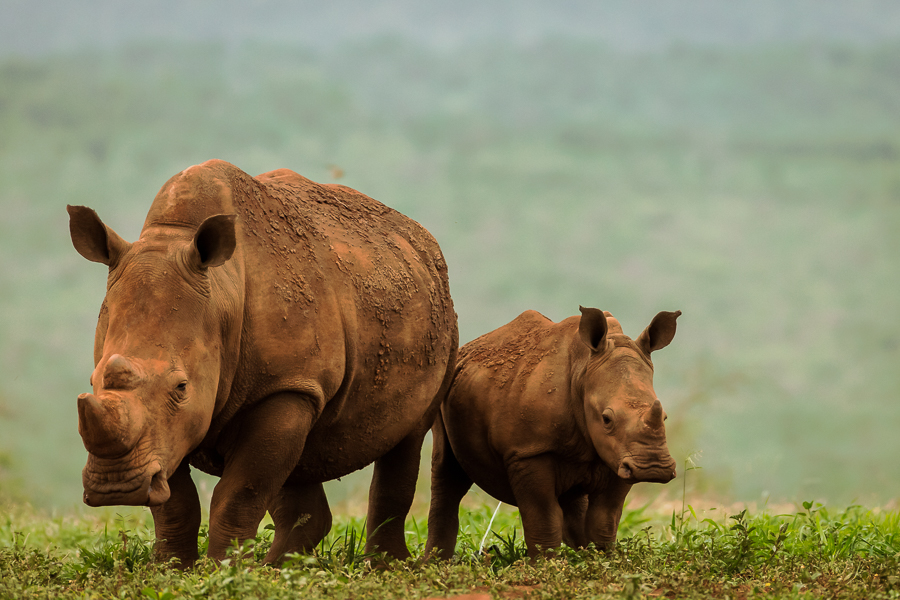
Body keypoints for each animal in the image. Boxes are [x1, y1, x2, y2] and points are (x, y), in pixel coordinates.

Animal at [67, 159, 457, 567]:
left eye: (181, 386)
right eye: (93, 381)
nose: (115, 487)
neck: (222, 291)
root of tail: (418, 236)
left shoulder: (286, 385)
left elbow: (241, 492)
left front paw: (224, 570)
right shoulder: (166, 427)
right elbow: (175, 499)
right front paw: (170, 568)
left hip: (438, 316)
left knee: (409, 437)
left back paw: (382, 566)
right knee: (300, 462)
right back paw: (283, 567)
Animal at [425, 307, 679, 559]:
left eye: (665, 416)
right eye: (606, 419)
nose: (653, 468)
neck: (582, 370)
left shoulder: (620, 455)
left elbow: (604, 519)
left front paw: (602, 560)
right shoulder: (529, 451)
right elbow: (544, 517)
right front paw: (547, 564)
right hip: (444, 383)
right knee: (447, 470)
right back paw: (434, 562)